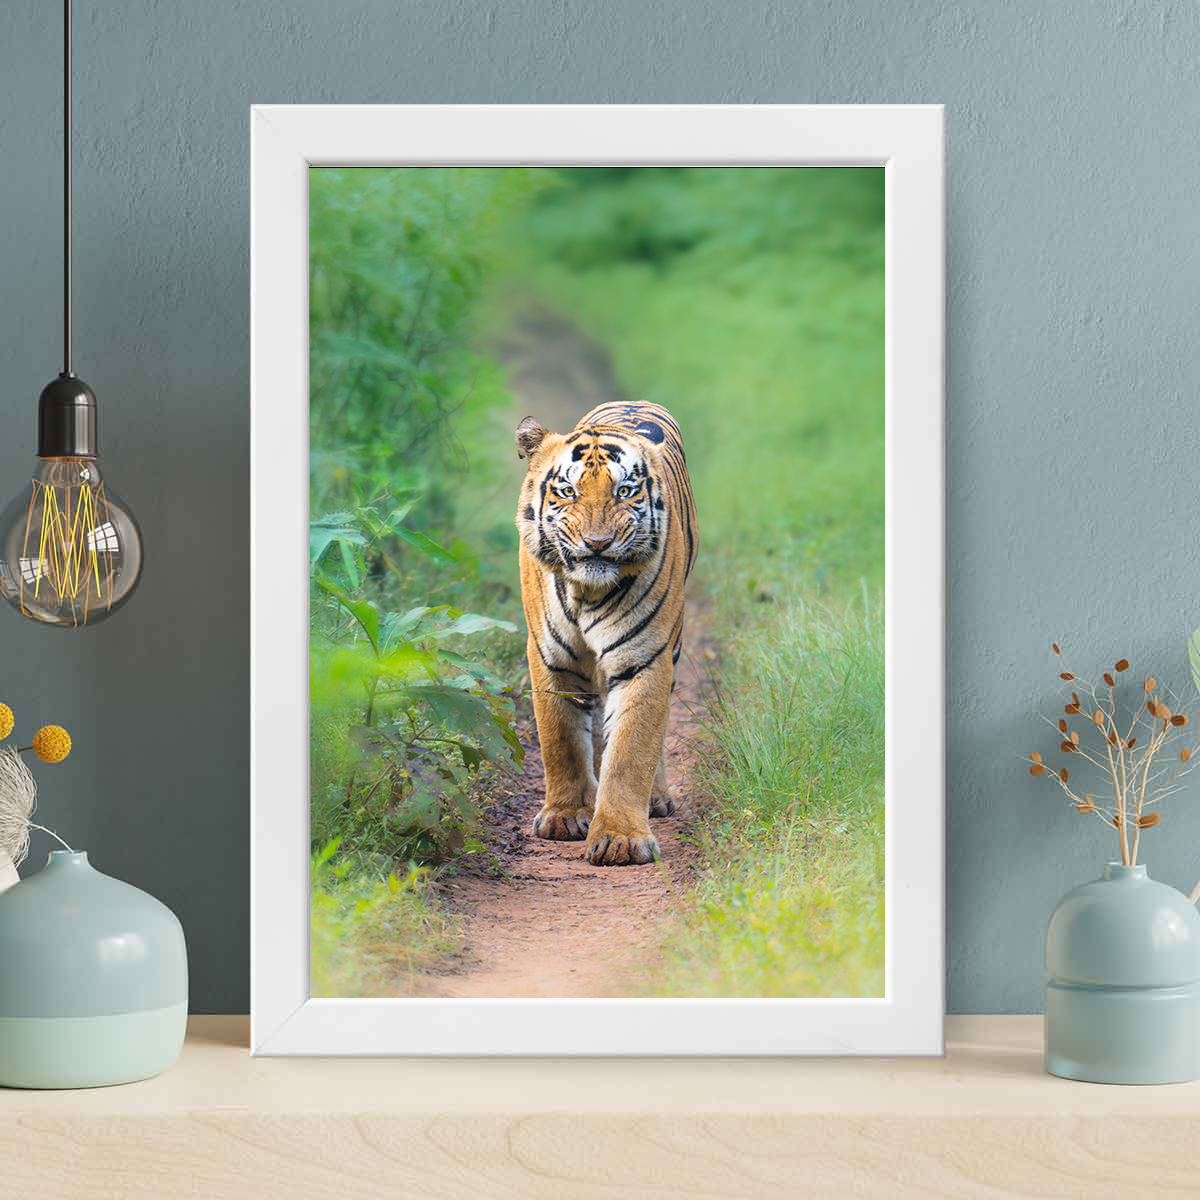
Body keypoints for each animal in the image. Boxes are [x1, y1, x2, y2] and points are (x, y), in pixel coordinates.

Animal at [515, 400, 698, 866]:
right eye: (567, 492)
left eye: (625, 491)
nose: (597, 544)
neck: (587, 591)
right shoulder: (550, 657)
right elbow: (560, 738)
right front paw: (566, 815)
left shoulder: (644, 658)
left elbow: (632, 748)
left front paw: (621, 838)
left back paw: (656, 799)